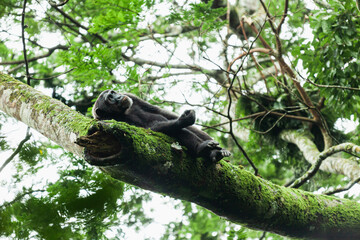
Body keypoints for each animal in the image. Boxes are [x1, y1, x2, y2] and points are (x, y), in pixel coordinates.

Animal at [93, 90, 231, 163]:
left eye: (113, 93)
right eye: (110, 98)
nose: (118, 96)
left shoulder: (132, 97)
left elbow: (162, 113)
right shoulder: (110, 121)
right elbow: (147, 131)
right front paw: (183, 119)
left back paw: (216, 151)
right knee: (177, 131)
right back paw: (201, 148)